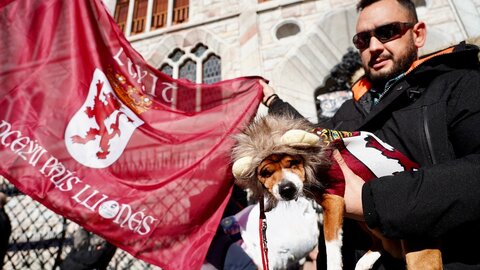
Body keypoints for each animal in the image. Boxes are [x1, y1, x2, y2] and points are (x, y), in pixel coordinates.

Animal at [231, 114, 440, 270]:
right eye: (266, 173)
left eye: (293, 162)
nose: (287, 189)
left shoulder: (334, 198)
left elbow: (330, 242)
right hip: (366, 222)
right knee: (382, 244)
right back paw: (365, 262)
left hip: (417, 254)